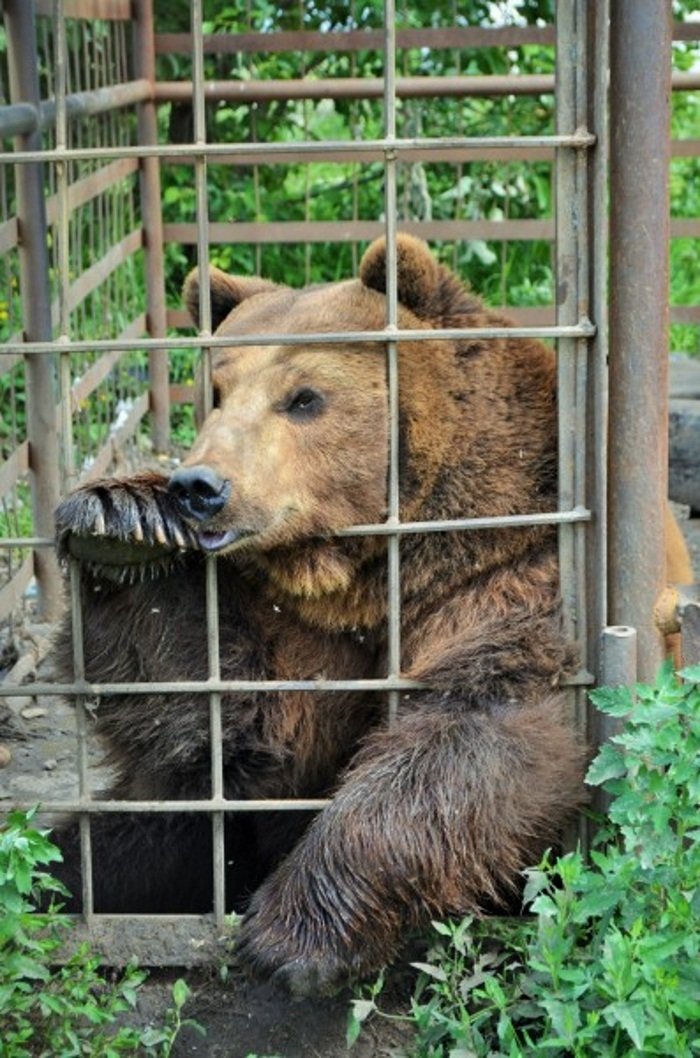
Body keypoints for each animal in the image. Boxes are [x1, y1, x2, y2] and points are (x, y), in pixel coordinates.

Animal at [54, 235, 587, 994]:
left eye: (304, 397)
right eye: (215, 393)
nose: (198, 486)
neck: (369, 572)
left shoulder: (506, 568)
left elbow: (476, 729)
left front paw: (293, 933)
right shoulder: (296, 626)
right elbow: (233, 723)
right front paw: (120, 521)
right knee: (108, 845)